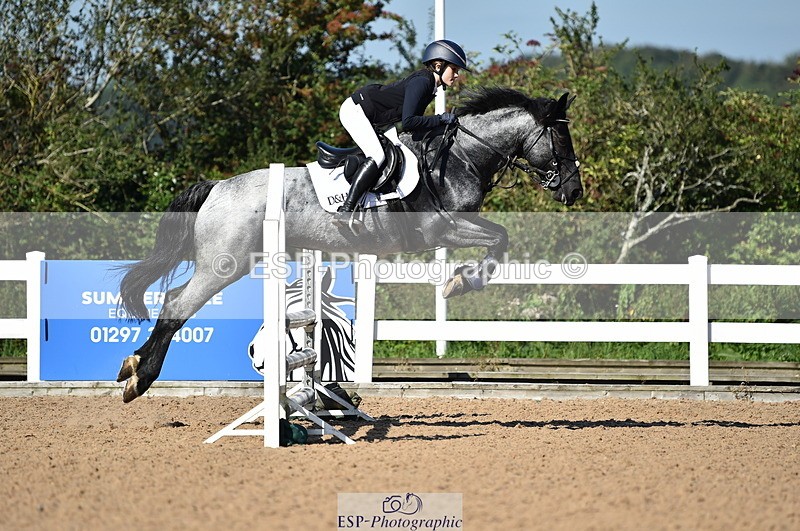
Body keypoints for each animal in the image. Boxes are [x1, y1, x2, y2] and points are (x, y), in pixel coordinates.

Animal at [116, 87, 583, 402]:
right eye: (561, 141)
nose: (574, 191)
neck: (461, 156)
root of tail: (217, 188)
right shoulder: (443, 229)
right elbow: (499, 238)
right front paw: (461, 283)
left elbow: (499, 238)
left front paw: (459, 281)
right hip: (224, 264)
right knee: (177, 303)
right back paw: (141, 376)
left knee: (175, 299)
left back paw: (132, 366)